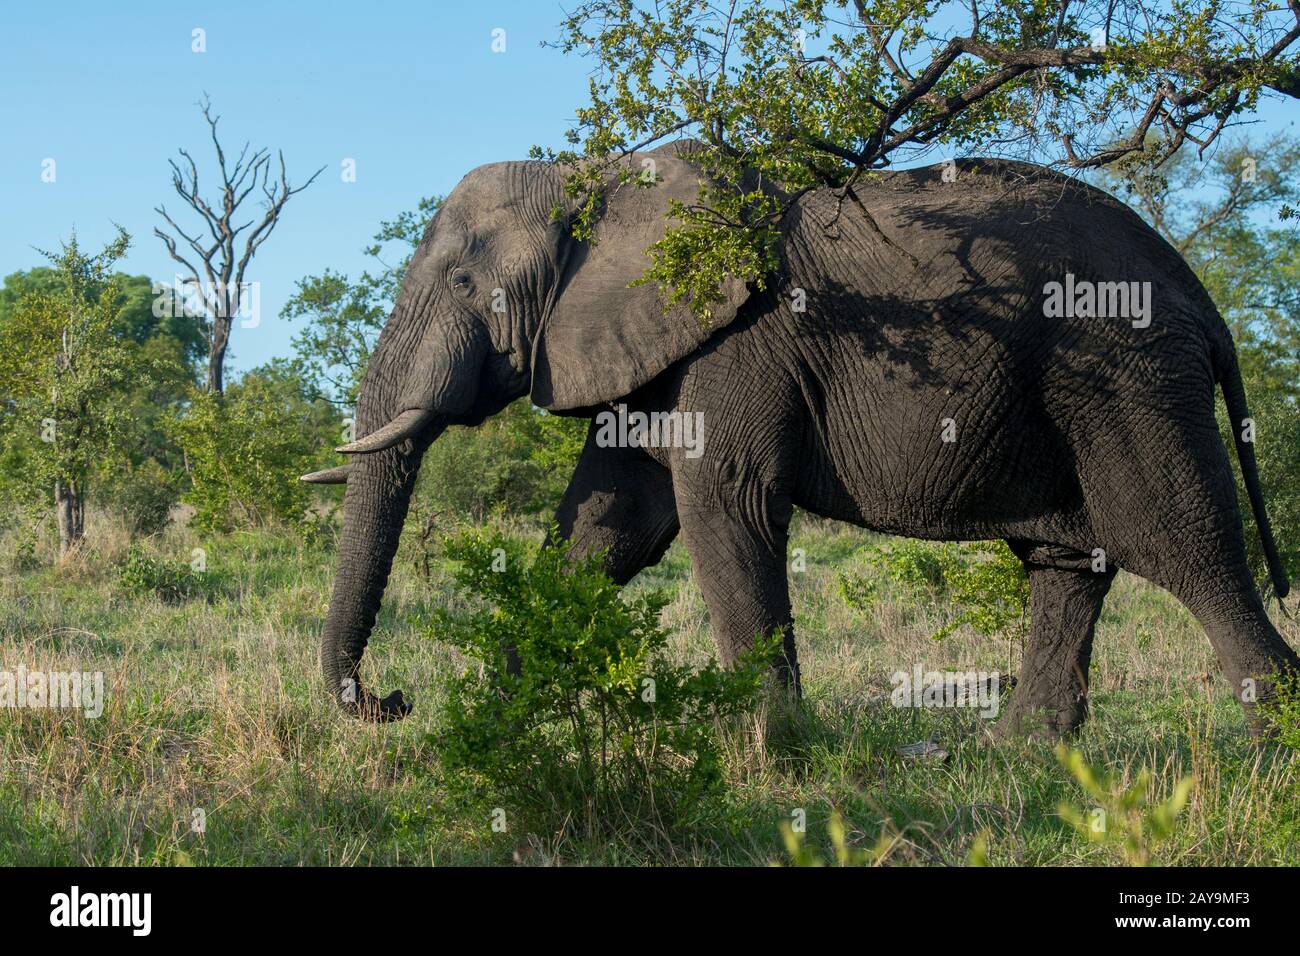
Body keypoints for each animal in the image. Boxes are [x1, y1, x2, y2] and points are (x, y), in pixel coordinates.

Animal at [306, 141, 1300, 738]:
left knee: (1182, 548)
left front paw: (773, 755)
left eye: (464, 281)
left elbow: (724, 504)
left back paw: (1266, 751)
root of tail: (1201, 296)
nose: (394, 699)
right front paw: (501, 718)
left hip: (1126, 378)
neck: (602, 177)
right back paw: (1026, 755)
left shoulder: (739, 343)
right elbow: (605, 530)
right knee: (1068, 561)